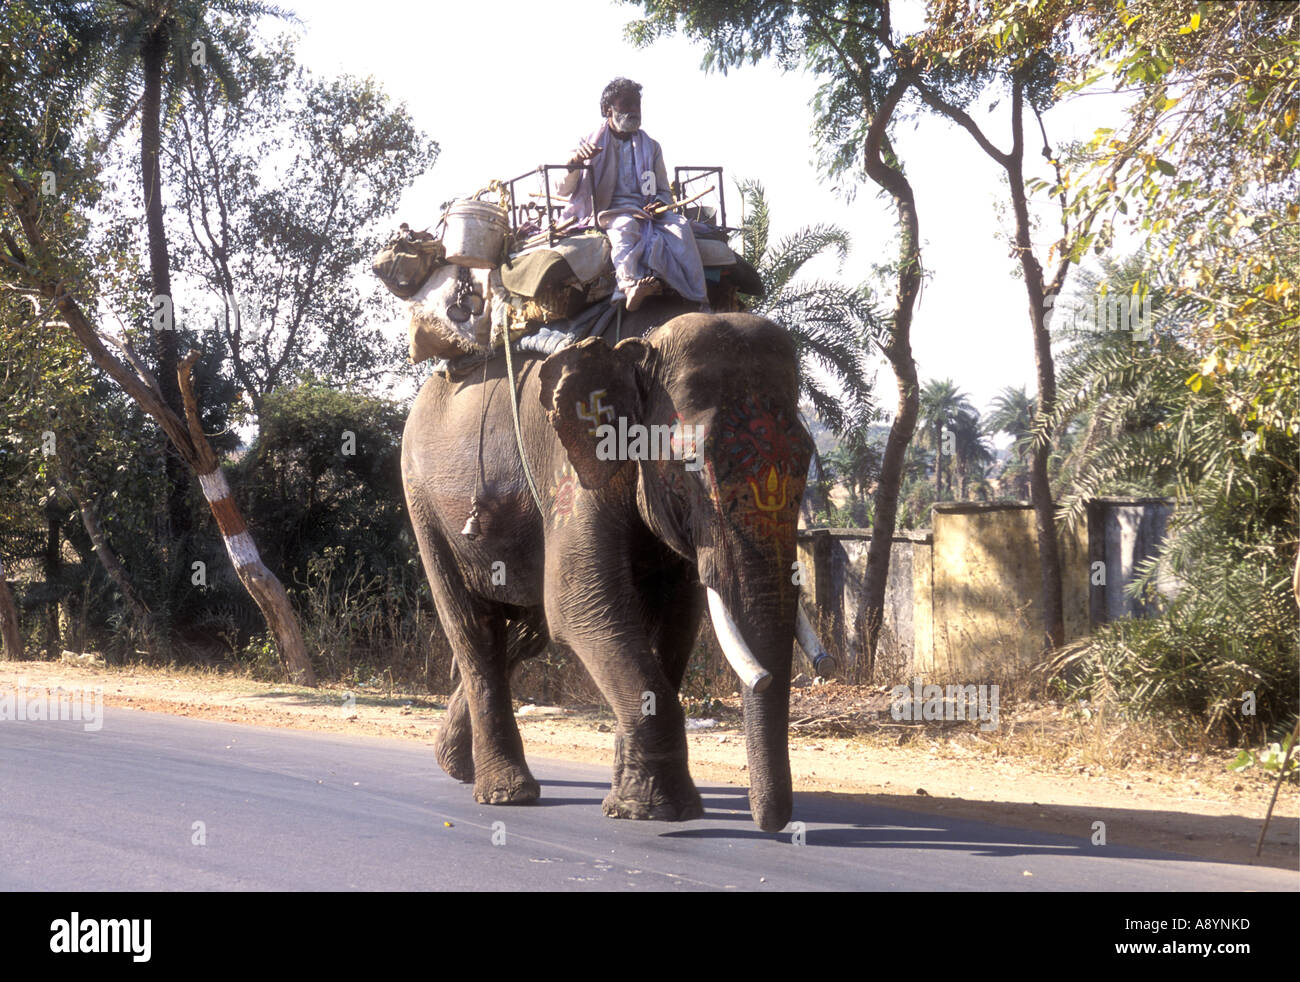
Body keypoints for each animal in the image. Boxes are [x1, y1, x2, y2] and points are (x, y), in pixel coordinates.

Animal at [400, 293, 816, 827]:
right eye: (691, 465)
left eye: (807, 459)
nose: (772, 823)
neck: (643, 345)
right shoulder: (571, 463)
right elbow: (580, 603)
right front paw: (662, 811)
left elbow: (675, 617)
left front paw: (638, 805)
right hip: (422, 500)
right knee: (475, 627)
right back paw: (507, 794)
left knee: (529, 630)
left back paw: (455, 764)